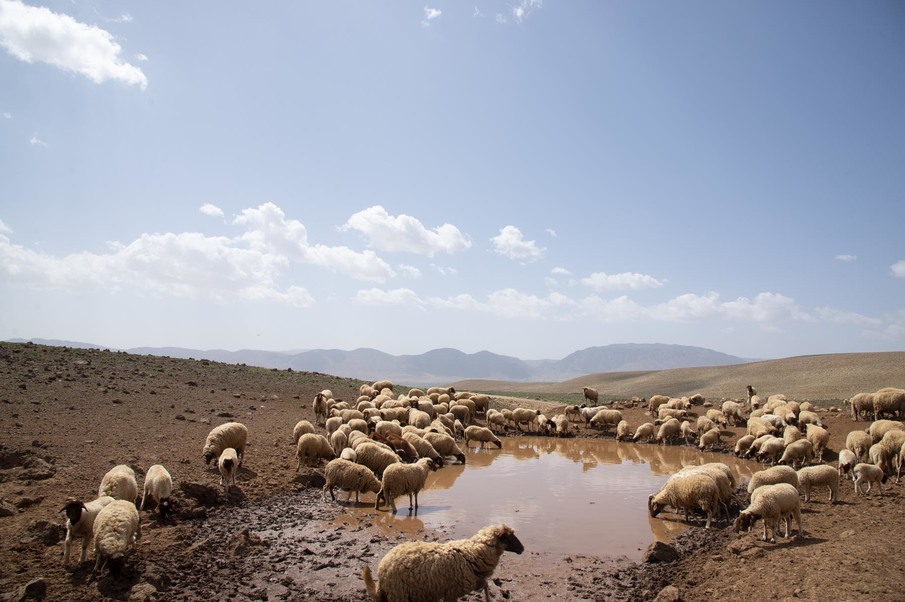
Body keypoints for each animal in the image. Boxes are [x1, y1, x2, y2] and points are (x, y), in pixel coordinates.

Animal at [362, 520, 524, 600]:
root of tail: (382, 569)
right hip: (399, 594)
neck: (473, 554)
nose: (522, 549)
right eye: (510, 537)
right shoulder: (451, 592)